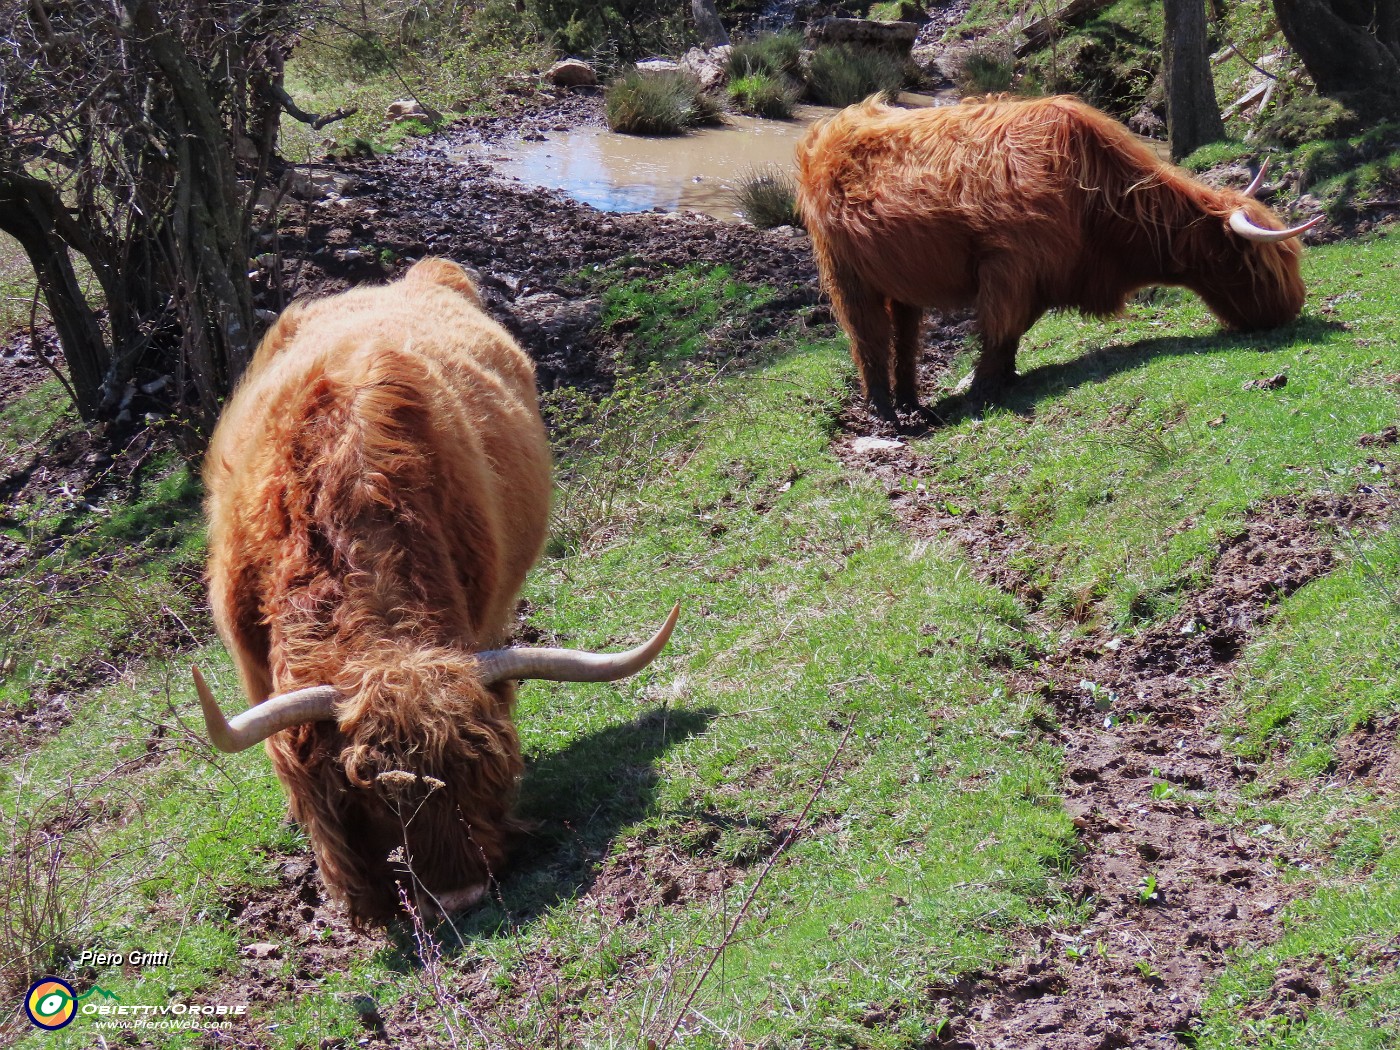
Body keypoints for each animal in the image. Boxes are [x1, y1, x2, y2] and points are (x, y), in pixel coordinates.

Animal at [795, 93, 1316, 414]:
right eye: (1259, 265)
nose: (1290, 310)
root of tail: (831, 129)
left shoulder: (1033, 276)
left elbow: (1013, 332)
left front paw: (1005, 377)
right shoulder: (1009, 267)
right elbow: (999, 329)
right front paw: (983, 390)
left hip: (900, 279)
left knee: (903, 335)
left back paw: (909, 401)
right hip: (847, 274)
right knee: (867, 336)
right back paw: (885, 411)